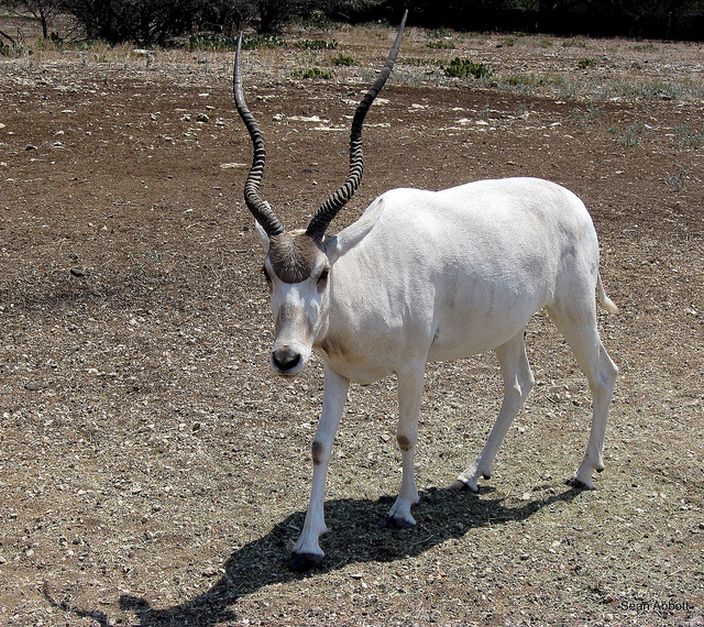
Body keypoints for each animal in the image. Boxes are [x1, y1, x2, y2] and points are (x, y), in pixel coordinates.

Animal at [233, 13, 618, 570]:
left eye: (323, 272)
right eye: (267, 272)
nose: (286, 358)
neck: (366, 273)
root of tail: (571, 201)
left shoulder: (412, 366)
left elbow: (406, 433)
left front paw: (402, 509)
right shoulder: (335, 371)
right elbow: (321, 445)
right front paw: (308, 541)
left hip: (575, 310)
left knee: (603, 374)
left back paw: (585, 472)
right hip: (509, 326)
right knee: (519, 384)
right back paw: (474, 473)